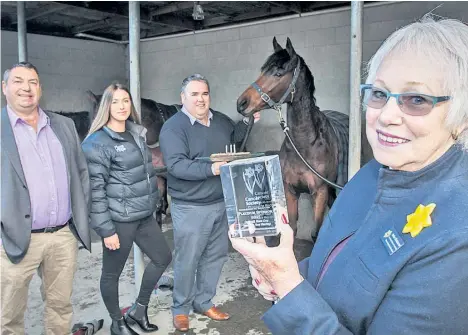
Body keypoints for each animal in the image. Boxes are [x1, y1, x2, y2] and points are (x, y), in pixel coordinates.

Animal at [238, 37, 372, 242]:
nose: (241, 103)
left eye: (278, 73)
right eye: (262, 70)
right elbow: (292, 228)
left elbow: (316, 233)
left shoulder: (319, 192)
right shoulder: (291, 191)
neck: (304, 144)